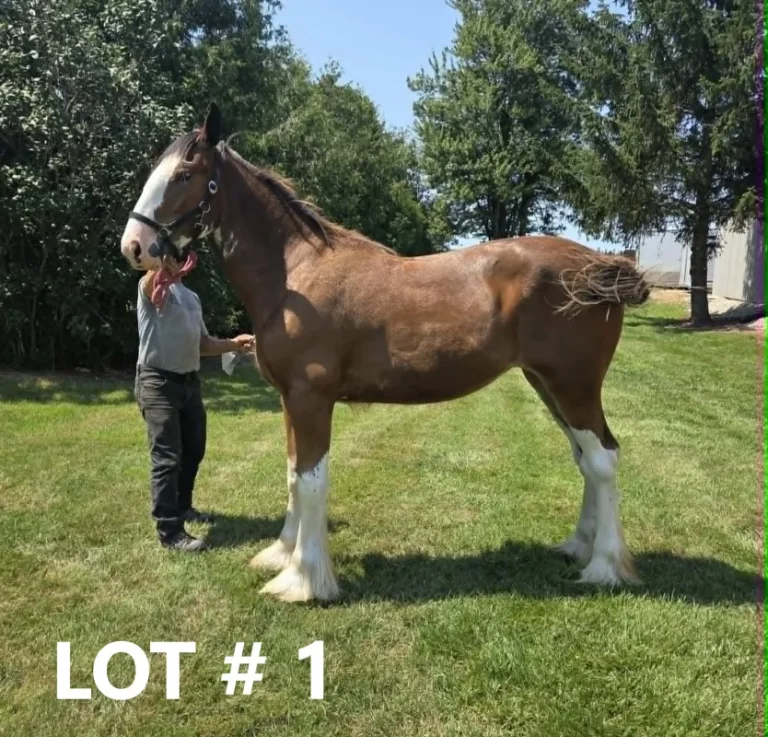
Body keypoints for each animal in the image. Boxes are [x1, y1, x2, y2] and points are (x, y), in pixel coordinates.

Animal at [120, 104, 650, 602]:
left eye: (184, 175)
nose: (134, 246)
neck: (295, 276)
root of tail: (599, 264)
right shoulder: (289, 399)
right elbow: (292, 475)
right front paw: (281, 555)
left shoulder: (311, 398)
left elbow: (311, 482)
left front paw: (304, 581)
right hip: (547, 385)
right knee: (585, 458)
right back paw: (578, 547)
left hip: (573, 386)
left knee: (603, 460)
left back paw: (604, 567)